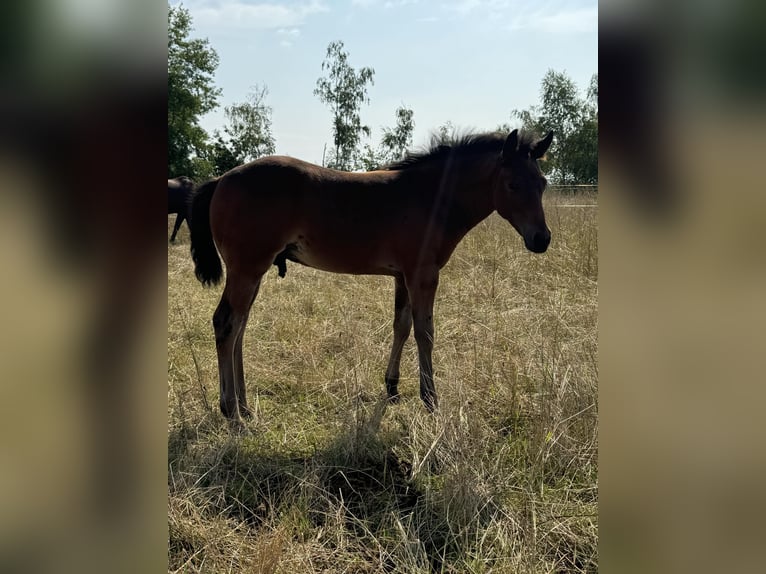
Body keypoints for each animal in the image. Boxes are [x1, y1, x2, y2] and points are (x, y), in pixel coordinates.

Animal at [189, 132, 556, 428]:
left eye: (542, 183)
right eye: (512, 184)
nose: (541, 239)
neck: (431, 197)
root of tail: (221, 179)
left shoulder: (403, 276)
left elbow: (402, 326)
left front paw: (392, 388)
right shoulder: (424, 274)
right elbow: (425, 333)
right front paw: (430, 400)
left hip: (253, 271)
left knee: (240, 326)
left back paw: (245, 407)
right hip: (247, 268)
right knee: (226, 323)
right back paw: (232, 413)